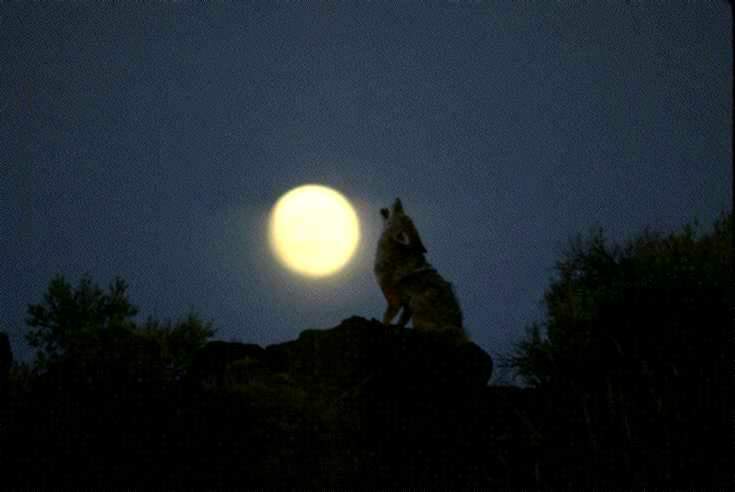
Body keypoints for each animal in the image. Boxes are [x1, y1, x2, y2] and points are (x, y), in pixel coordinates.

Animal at [374, 198, 467, 342]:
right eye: (398, 210)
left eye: (390, 221)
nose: (397, 201)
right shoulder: (406, 306)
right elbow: (401, 321)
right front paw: (397, 329)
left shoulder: (393, 299)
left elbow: (386, 318)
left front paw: (384, 326)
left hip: (419, 303)